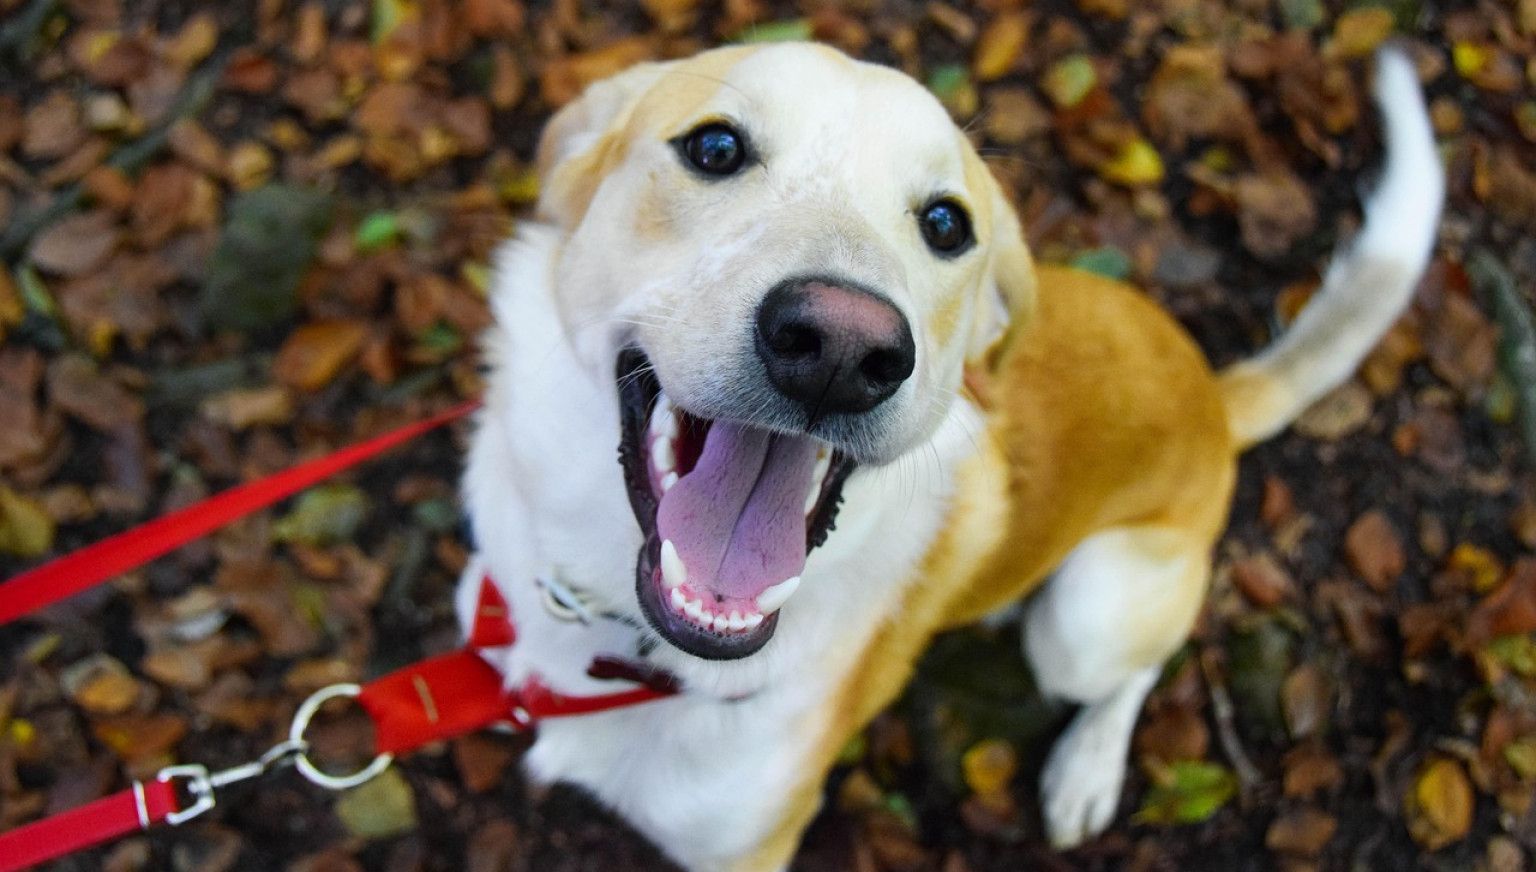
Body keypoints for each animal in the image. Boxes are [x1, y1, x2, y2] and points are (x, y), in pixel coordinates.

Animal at [448, 42, 1443, 872]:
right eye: (716, 148)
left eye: (945, 223)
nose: (843, 348)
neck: (618, 630)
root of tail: (1212, 389)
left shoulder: (747, 850)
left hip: (1086, 616)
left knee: (1134, 669)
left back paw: (1086, 767)